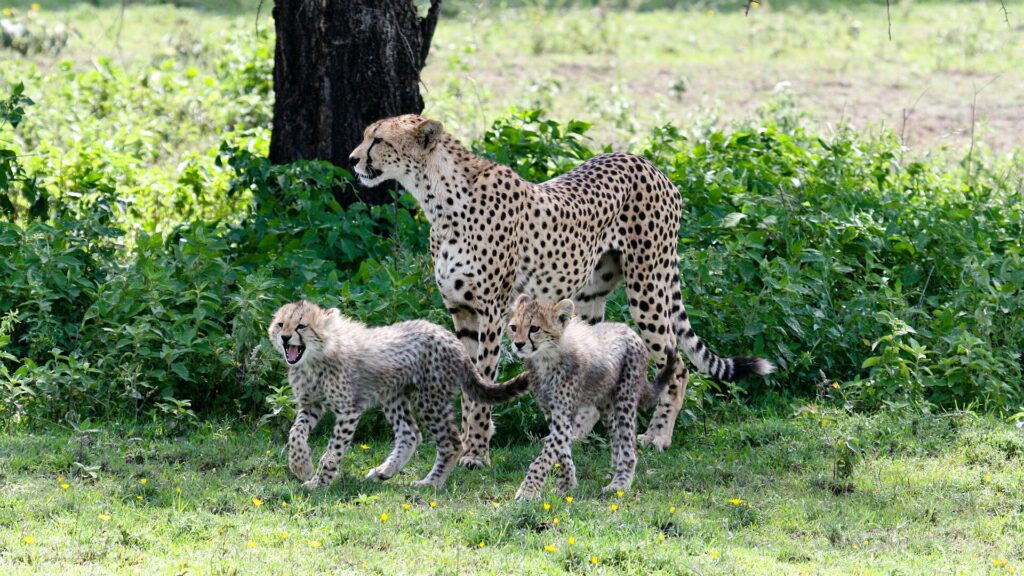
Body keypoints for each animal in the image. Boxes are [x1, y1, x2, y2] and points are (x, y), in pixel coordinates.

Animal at [268, 300, 516, 489]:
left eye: (301, 326)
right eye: (280, 324)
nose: (285, 337)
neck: (315, 357)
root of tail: (449, 336)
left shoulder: (349, 410)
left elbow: (332, 451)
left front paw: (319, 482)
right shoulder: (312, 405)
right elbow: (295, 432)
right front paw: (301, 465)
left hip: (430, 400)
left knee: (452, 443)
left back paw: (430, 483)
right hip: (393, 396)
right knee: (410, 434)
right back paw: (384, 472)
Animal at [348, 114, 773, 467]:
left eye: (378, 139)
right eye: (366, 135)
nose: (352, 160)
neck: (439, 198)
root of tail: (649, 164)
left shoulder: (491, 313)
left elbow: (483, 382)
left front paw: (475, 453)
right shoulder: (461, 310)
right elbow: (471, 383)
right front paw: (471, 444)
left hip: (648, 284)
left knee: (678, 364)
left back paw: (657, 436)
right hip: (589, 296)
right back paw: (572, 435)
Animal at [462, 294, 676, 500]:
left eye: (534, 328)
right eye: (514, 328)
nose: (518, 344)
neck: (545, 358)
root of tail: (628, 328)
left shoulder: (561, 416)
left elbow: (544, 456)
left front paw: (529, 491)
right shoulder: (551, 414)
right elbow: (562, 452)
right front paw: (568, 484)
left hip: (626, 398)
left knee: (629, 445)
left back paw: (620, 483)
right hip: (605, 403)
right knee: (616, 433)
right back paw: (614, 465)